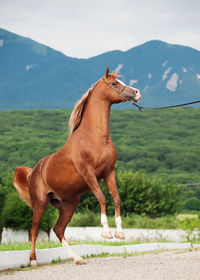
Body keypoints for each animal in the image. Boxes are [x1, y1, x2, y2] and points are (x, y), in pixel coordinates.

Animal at [12, 67, 141, 264]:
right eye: (114, 83)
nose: (137, 93)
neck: (94, 138)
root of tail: (33, 172)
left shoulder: (109, 173)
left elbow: (116, 198)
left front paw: (119, 234)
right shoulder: (89, 174)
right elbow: (102, 198)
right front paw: (106, 233)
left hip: (69, 205)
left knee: (58, 230)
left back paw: (77, 258)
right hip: (39, 204)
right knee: (34, 231)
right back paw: (33, 260)